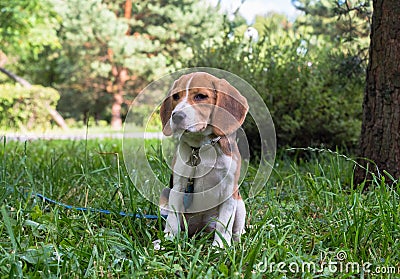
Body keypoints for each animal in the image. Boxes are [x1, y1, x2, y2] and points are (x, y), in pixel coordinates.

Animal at [159, 71, 247, 247]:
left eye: (200, 96)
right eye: (176, 96)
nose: (176, 116)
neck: (202, 147)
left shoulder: (229, 191)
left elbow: (224, 226)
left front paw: (220, 247)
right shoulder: (178, 187)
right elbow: (172, 220)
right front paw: (168, 241)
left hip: (240, 204)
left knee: (237, 230)